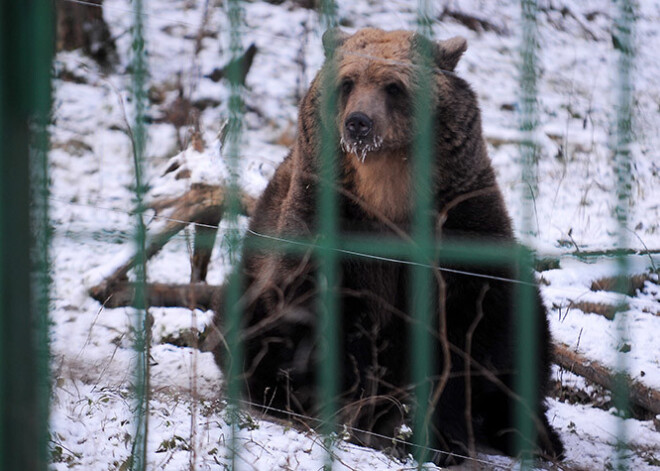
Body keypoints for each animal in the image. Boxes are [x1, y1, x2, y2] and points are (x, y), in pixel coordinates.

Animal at [214, 27, 564, 466]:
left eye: (393, 86)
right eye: (347, 83)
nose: (358, 123)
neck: (386, 188)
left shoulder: (461, 223)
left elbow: (465, 329)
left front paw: (438, 436)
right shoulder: (330, 227)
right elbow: (333, 322)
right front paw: (364, 414)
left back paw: (534, 436)